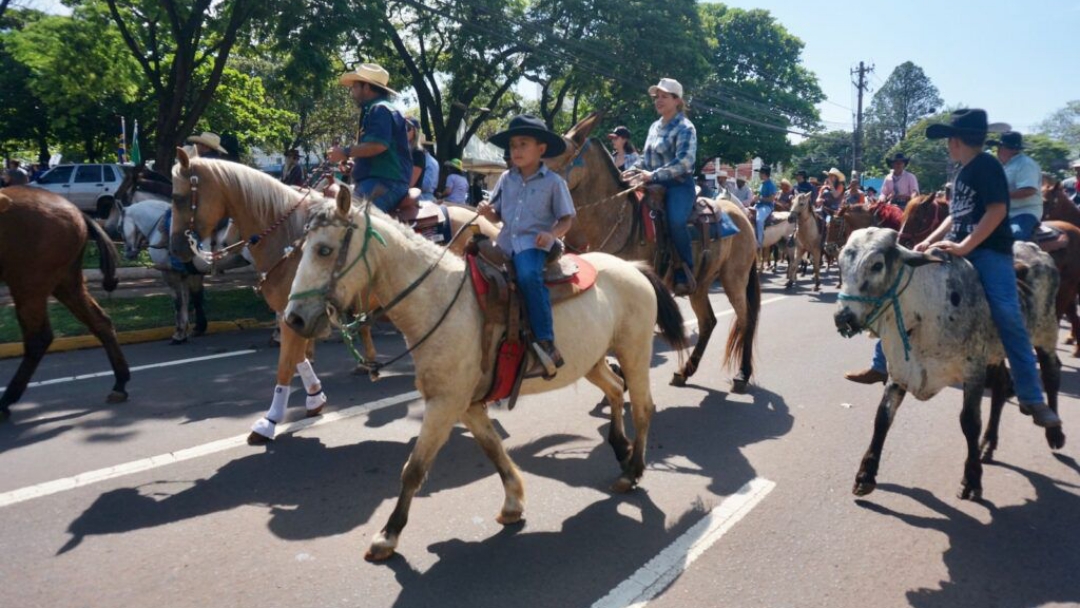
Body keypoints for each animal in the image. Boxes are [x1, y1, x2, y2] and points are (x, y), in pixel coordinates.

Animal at [0, 187, 130, 421]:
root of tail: (78, 212)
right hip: (65, 284)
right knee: (101, 322)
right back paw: (120, 383)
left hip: (29, 285)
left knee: (38, 339)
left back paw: (6, 400)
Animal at [170, 147, 498, 442]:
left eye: (178, 197)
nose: (176, 250)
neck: (289, 240)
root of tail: (479, 215)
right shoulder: (295, 315)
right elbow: (298, 358)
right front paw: (315, 396)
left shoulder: (297, 313)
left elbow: (286, 364)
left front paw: (270, 420)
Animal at [285, 190, 691, 561]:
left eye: (324, 250)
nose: (294, 319)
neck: (439, 301)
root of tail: (634, 267)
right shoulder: (466, 406)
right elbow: (494, 450)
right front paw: (513, 503)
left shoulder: (444, 404)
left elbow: (414, 469)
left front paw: (388, 535)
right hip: (592, 360)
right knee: (616, 389)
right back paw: (621, 448)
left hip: (634, 352)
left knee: (643, 406)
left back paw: (633, 470)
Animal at [544, 111, 756, 393]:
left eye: (554, 153)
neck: (616, 217)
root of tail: (741, 214)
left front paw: (620, 377)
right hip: (700, 284)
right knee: (708, 322)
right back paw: (684, 371)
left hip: (734, 279)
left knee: (745, 320)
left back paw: (742, 375)